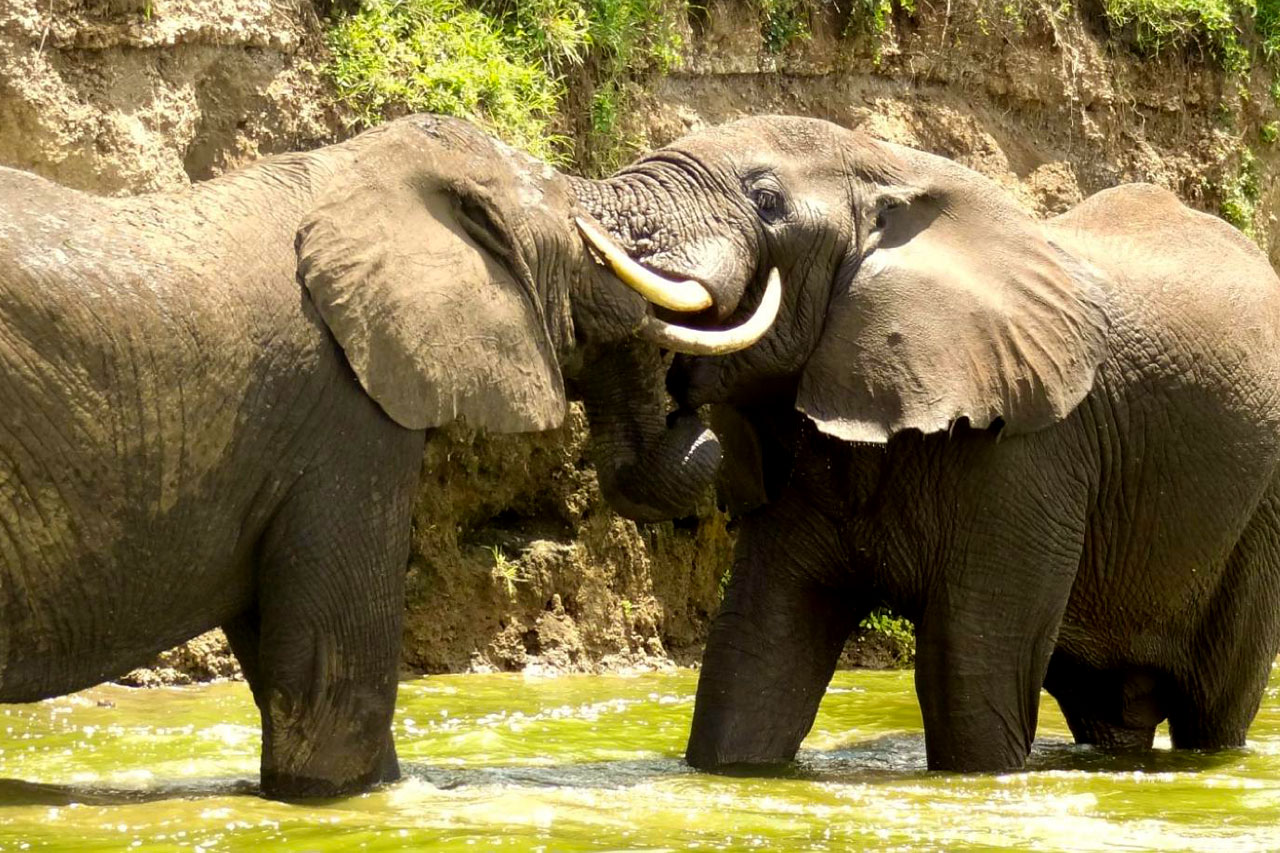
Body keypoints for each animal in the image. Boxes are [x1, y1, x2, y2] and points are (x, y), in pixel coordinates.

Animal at [571, 114, 1280, 773]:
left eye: (767, 200)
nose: (686, 413)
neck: (892, 166)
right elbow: (755, 653)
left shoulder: (1028, 454)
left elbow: (971, 667)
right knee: (1110, 708)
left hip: (1260, 516)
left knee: (1214, 704)